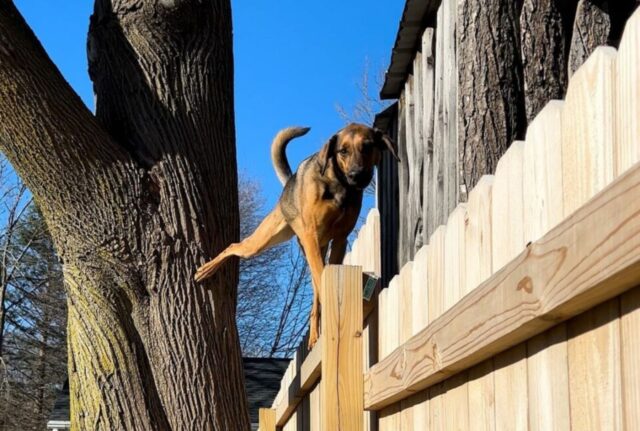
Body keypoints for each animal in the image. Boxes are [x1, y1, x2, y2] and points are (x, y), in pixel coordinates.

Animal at [192, 123, 398, 350]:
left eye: (368, 146)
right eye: (343, 151)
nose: (356, 175)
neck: (339, 186)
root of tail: (287, 187)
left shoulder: (340, 240)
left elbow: (324, 278)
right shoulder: (311, 235)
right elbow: (321, 279)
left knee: (315, 296)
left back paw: (315, 336)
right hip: (264, 240)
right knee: (233, 246)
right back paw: (205, 270)